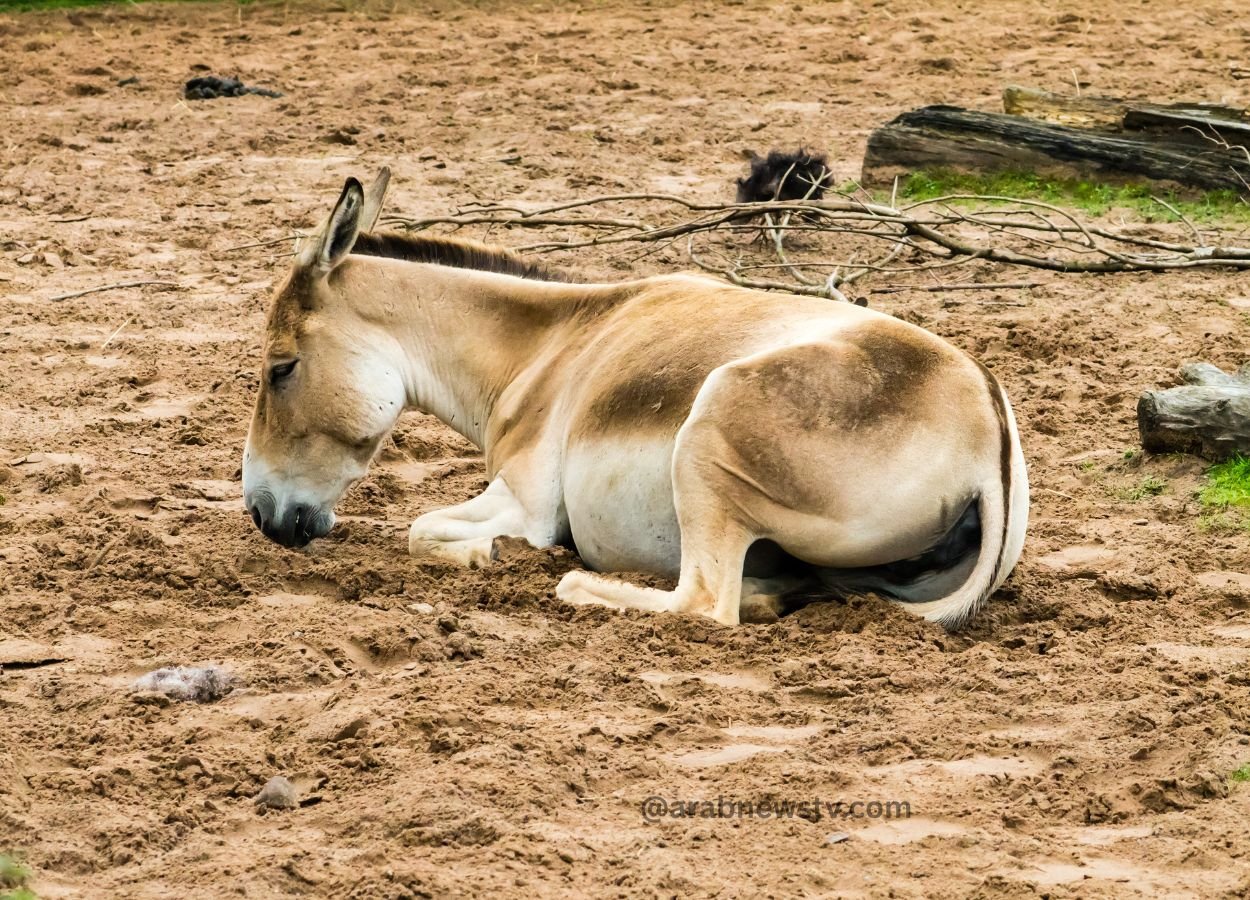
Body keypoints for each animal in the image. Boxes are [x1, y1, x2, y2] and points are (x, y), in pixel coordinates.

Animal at [242, 168, 1028, 628]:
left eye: (281, 367)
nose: (262, 513)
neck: (551, 345)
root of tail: (986, 432)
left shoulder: (526, 502)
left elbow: (421, 529)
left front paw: (486, 557)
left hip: (708, 437)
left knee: (704, 604)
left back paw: (583, 585)